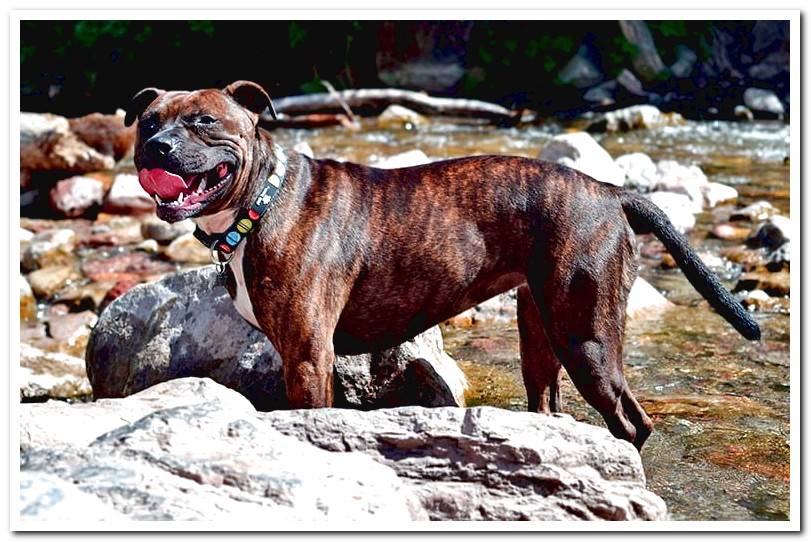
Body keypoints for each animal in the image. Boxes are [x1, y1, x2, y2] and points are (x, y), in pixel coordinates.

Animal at [127, 81, 760, 450]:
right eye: (149, 120)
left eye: (204, 121)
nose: (156, 147)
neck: (262, 201)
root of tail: (609, 190)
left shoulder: (308, 357)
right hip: (542, 333)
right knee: (549, 401)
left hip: (588, 340)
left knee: (633, 423)